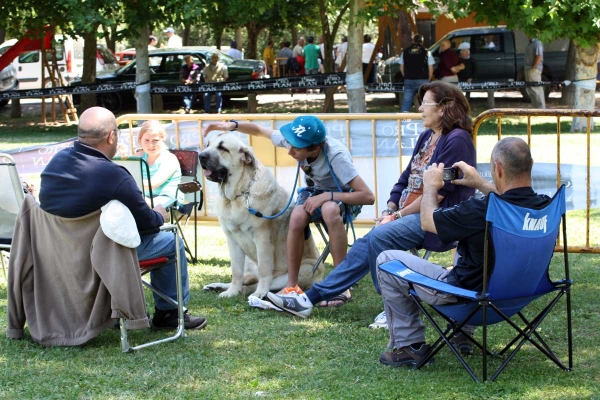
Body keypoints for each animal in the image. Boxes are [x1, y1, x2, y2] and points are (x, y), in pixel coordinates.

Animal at [199, 133, 324, 298]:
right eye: (208, 145)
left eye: (223, 148)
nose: (201, 156)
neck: (239, 195)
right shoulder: (232, 240)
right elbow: (236, 271)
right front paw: (231, 292)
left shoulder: (262, 238)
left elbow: (265, 270)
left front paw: (259, 293)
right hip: (249, 263)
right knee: (246, 278)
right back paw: (218, 287)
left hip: (304, 271)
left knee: (256, 284)